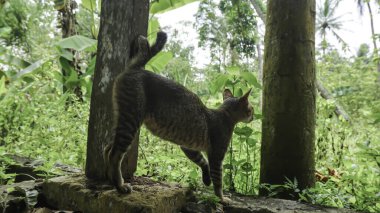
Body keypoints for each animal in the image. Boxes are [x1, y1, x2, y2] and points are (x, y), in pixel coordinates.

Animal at [102, 30, 254, 201]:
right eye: (251, 109)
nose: (253, 116)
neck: (223, 115)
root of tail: (137, 67)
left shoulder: (189, 147)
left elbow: (202, 162)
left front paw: (206, 179)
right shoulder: (216, 155)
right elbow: (218, 181)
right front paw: (221, 198)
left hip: (123, 119)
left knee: (107, 149)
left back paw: (110, 180)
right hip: (131, 120)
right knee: (114, 154)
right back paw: (120, 186)